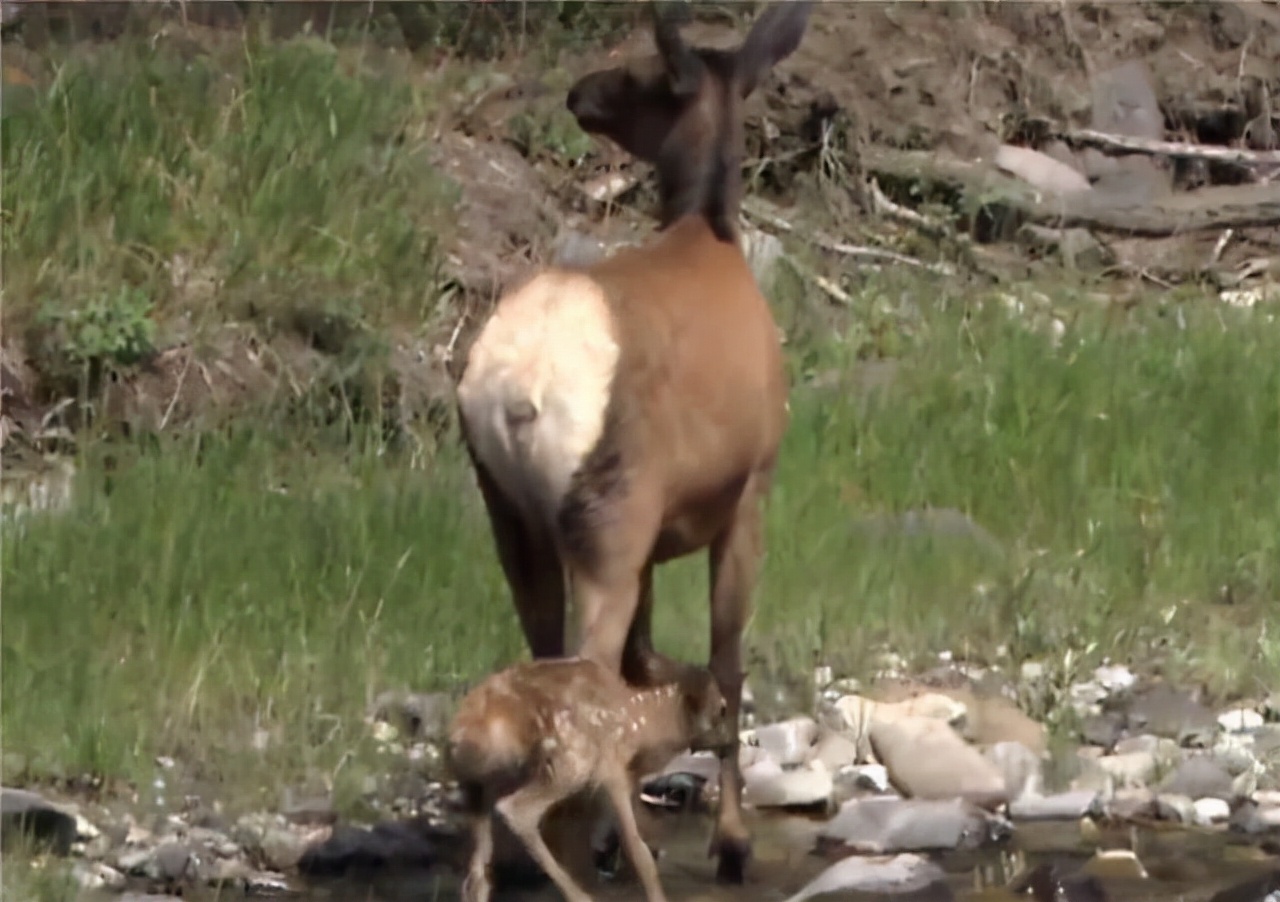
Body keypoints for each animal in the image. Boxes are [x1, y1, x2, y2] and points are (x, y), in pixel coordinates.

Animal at [448, 655, 732, 900]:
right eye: (722, 709)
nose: (729, 744)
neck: (643, 725)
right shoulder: (612, 770)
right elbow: (638, 849)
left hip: (483, 782)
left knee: (478, 874)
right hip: (571, 762)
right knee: (517, 811)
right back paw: (580, 896)